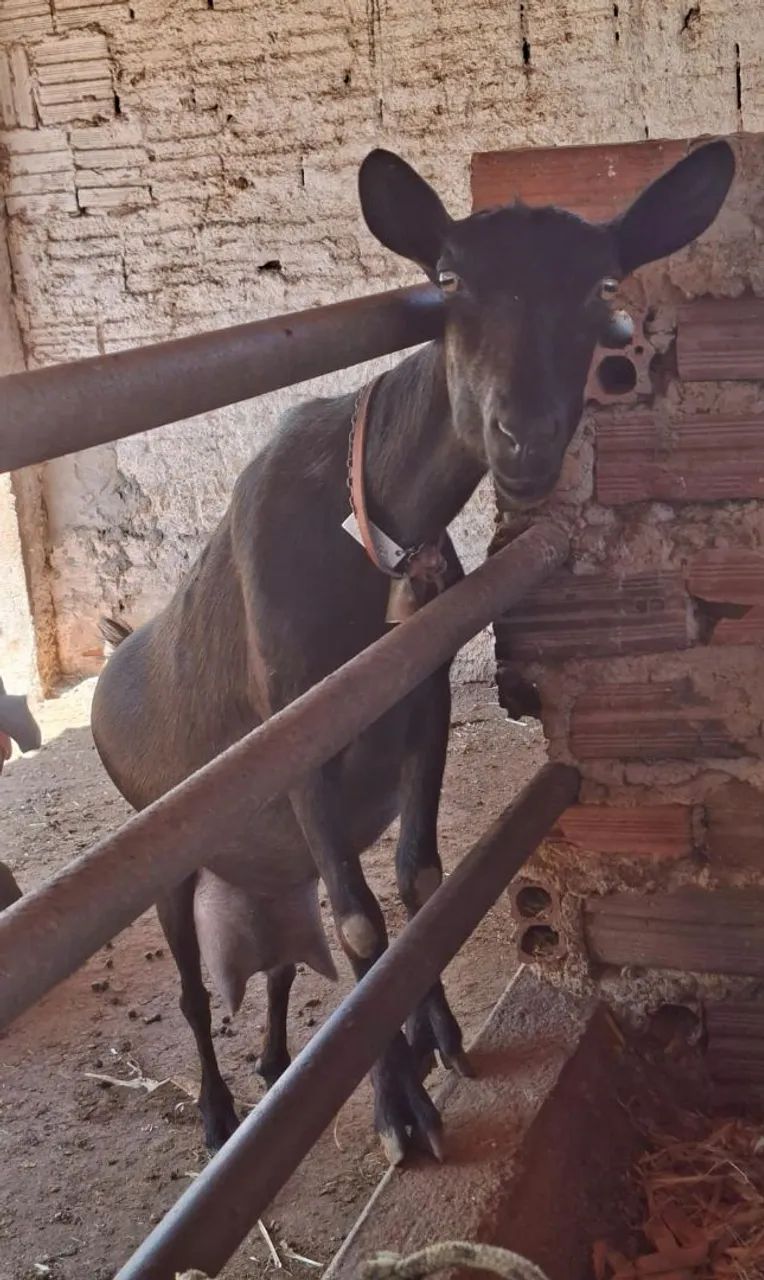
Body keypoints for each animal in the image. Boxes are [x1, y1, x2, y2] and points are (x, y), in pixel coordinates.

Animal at [92, 141, 734, 1162]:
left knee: (281, 963)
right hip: (164, 859)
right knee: (196, 991)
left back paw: (275, 1067)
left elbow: (419, 881)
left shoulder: (422, 698)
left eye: (601, 284)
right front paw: (398, 1106)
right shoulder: (297, 739)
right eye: (448, 279)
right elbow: (362, 926)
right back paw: (220, 1116)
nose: (526, 438)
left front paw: (438, 1035)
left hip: (273, 867)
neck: (363, 529)